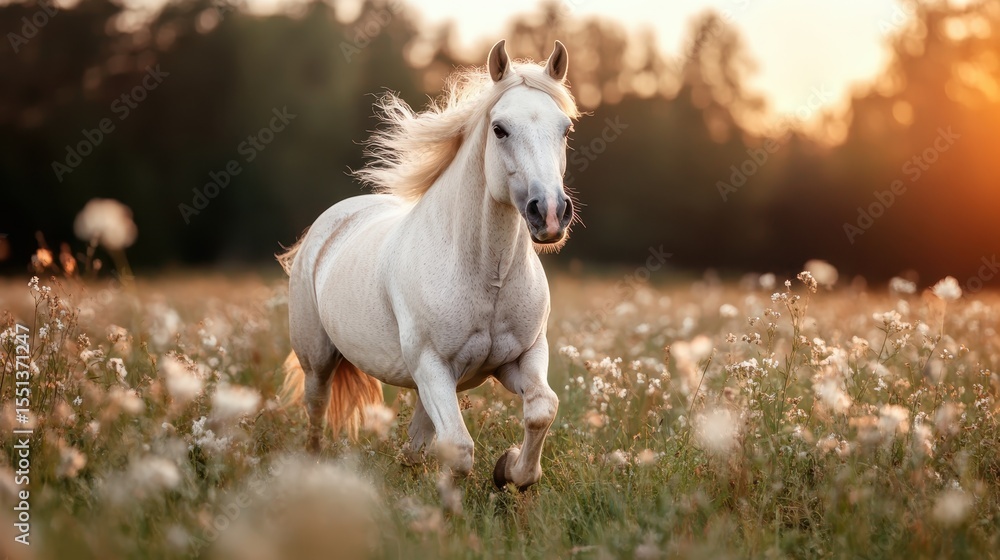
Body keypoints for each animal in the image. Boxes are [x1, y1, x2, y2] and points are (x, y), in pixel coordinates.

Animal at [277, 39, 580, 491]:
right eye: (500, 129)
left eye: (565, 129)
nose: (549, 214)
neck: (487, 276)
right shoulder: (433, 366)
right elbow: (459, 449)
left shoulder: (519, 357)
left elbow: (542, 409)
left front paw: (510, 470)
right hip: (318, 360)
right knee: (316, 415)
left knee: (414, 444)